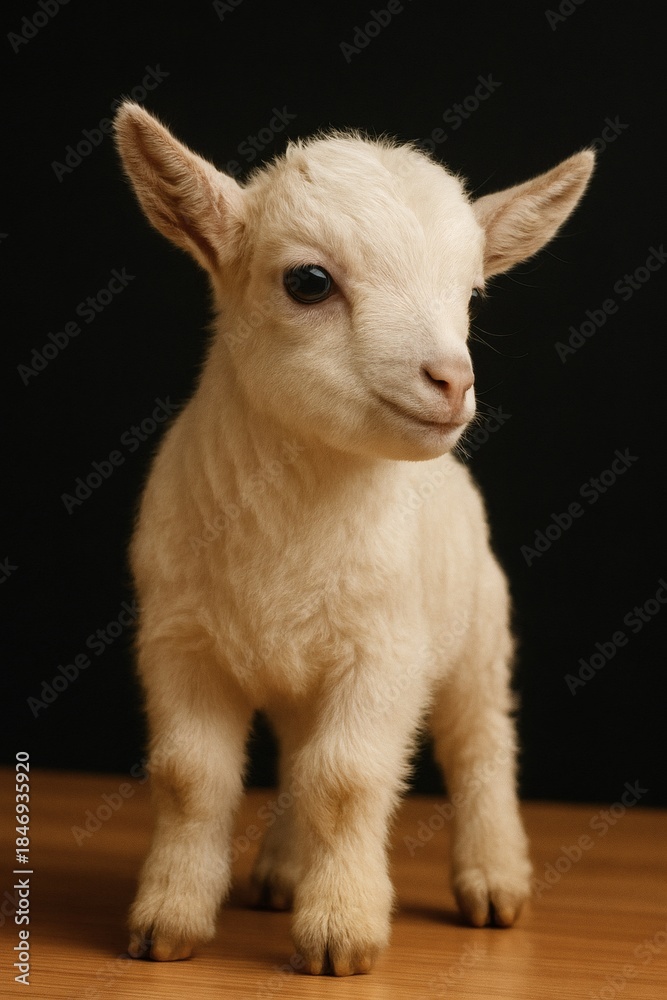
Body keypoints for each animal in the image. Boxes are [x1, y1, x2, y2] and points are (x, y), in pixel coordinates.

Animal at [114, 102, 594, 975]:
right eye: (308, 281)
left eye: (471, 295)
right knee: (300, 756)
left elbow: (347, 780)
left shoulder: (385, 652)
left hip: (477, 632)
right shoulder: (178, 643)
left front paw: (341, 933)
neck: (293, 519)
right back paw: (280, 872)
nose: (451, 379)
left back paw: (494, 883)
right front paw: (166, 924)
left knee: (479, 745)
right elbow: (190, 777)